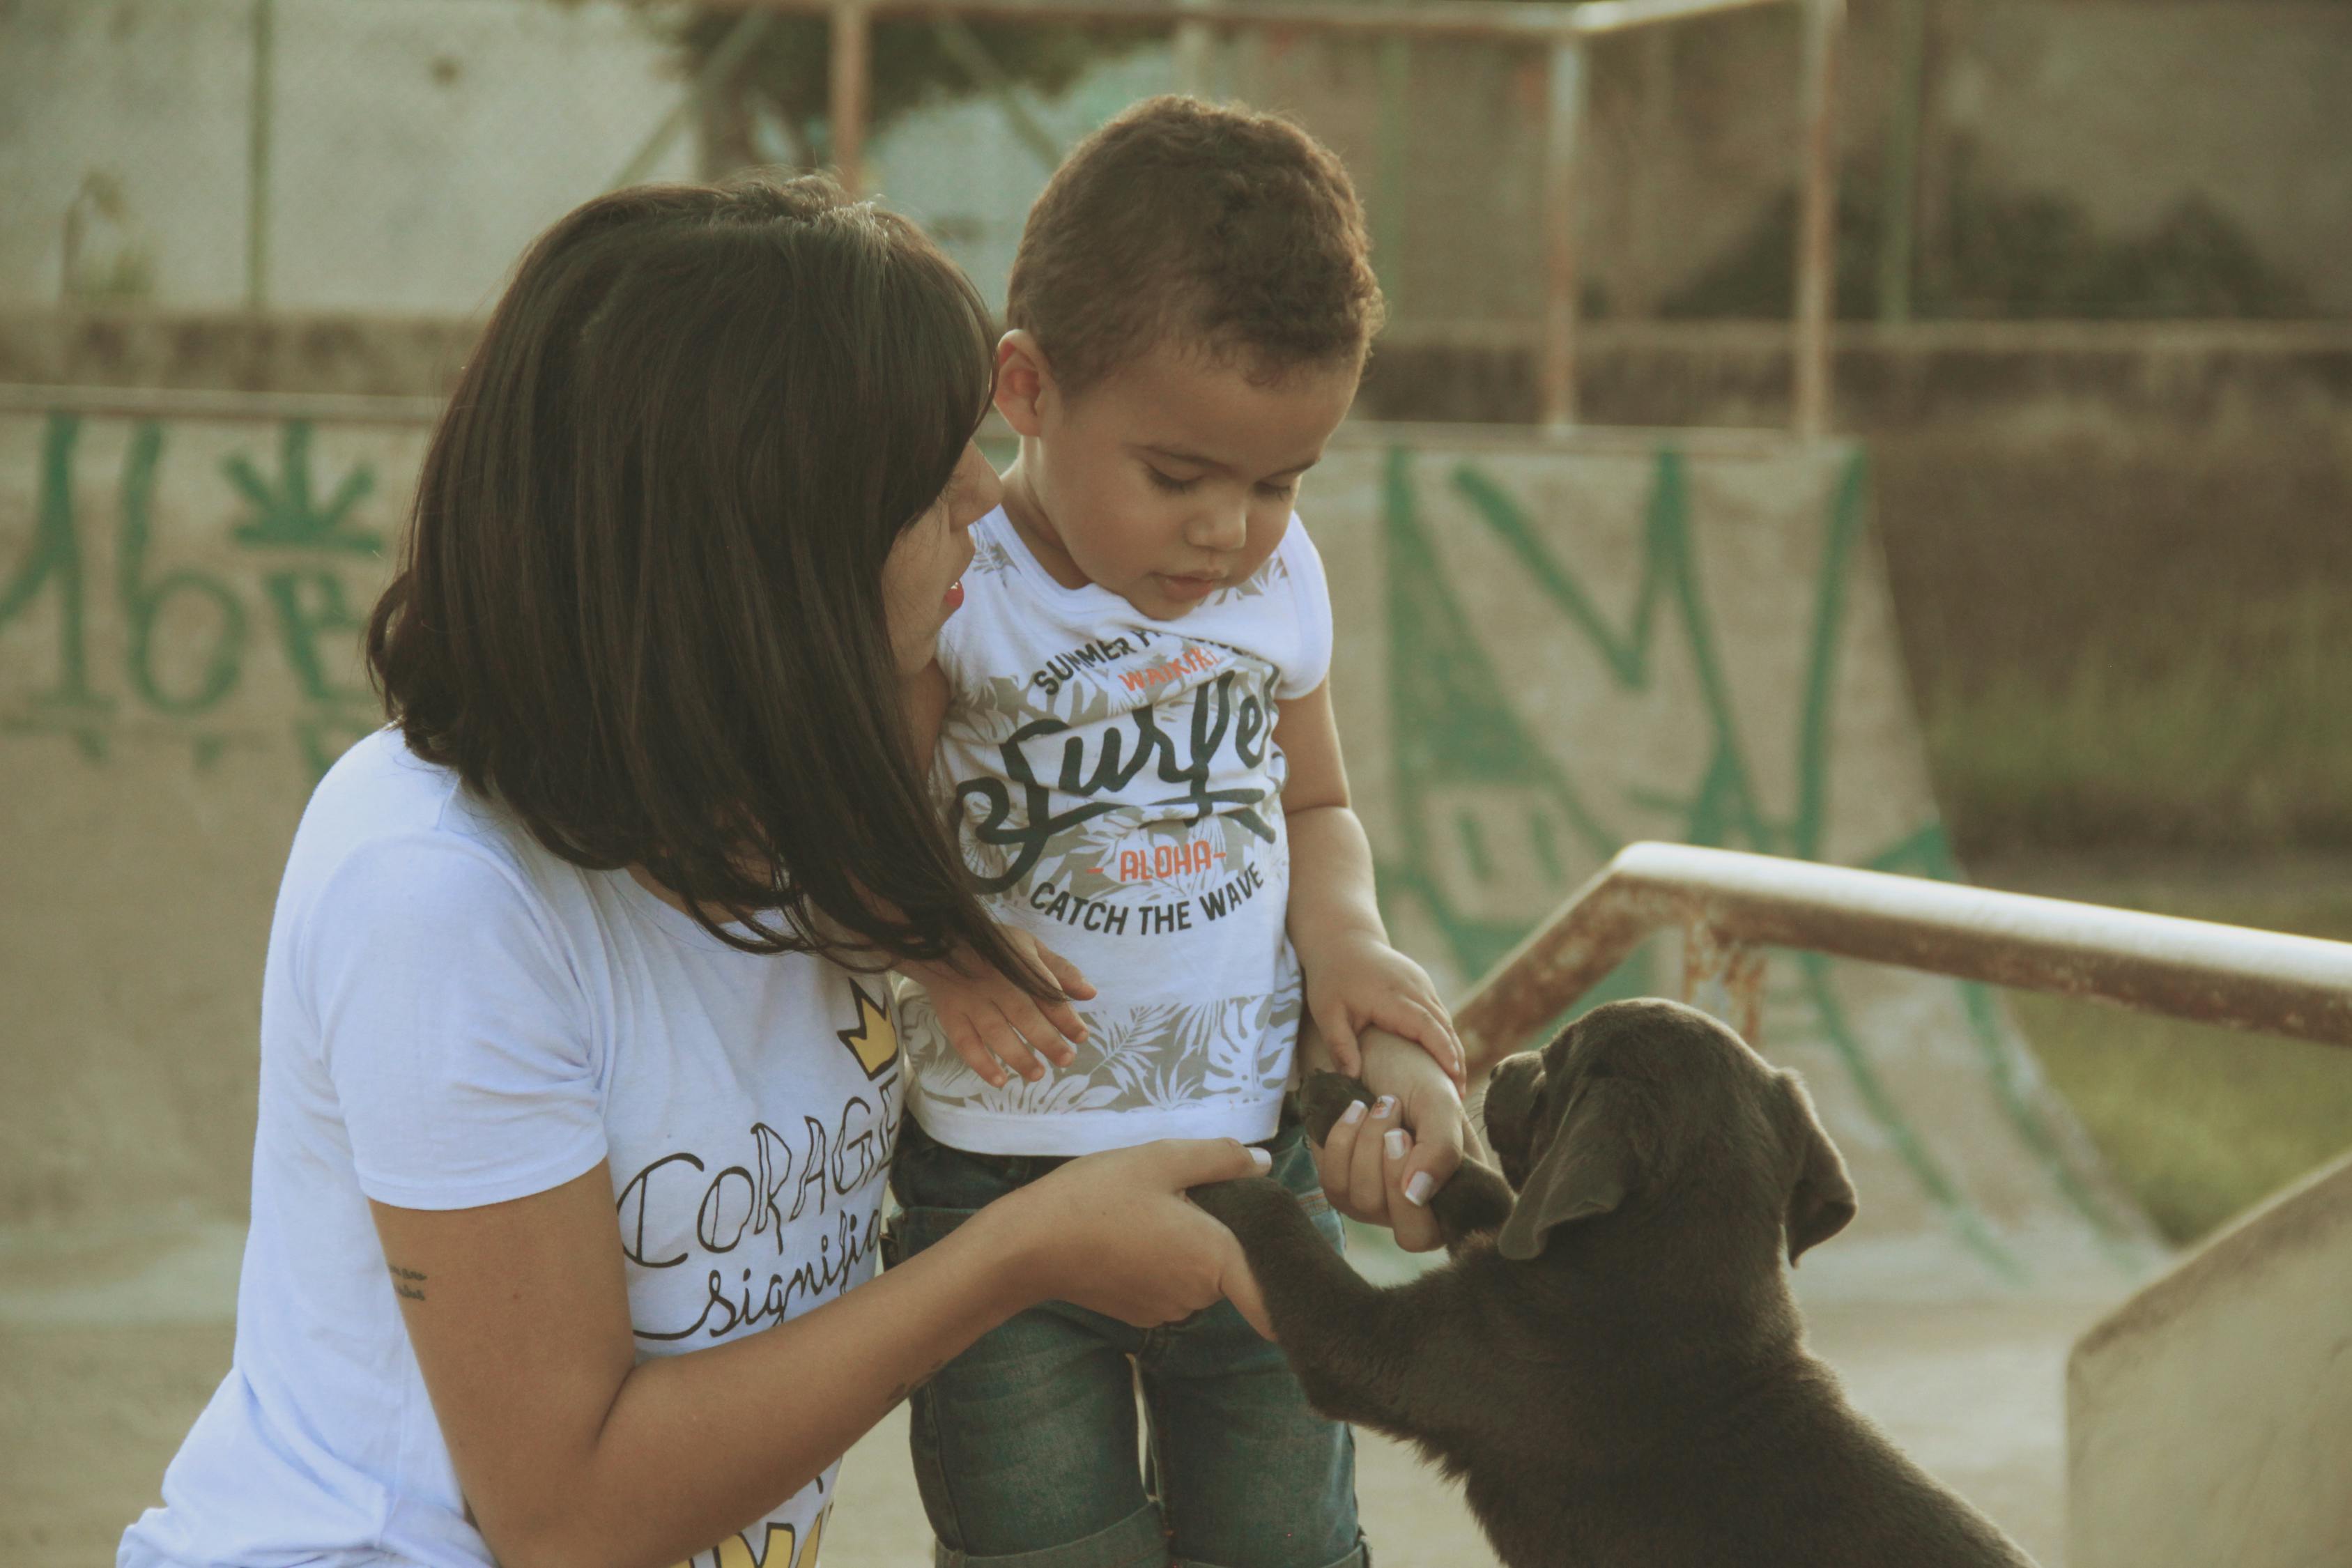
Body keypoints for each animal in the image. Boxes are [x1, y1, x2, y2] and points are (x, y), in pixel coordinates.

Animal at [1194, 1006, 2041, 1568]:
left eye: (1556, 1064)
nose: (1502, 1066)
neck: (1654, 1271)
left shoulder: (1393, 1344)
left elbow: (1287, 1234)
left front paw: (1220, 1175)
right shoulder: (1508, 1252)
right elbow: (1465, 1183)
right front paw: (1348, 1099)